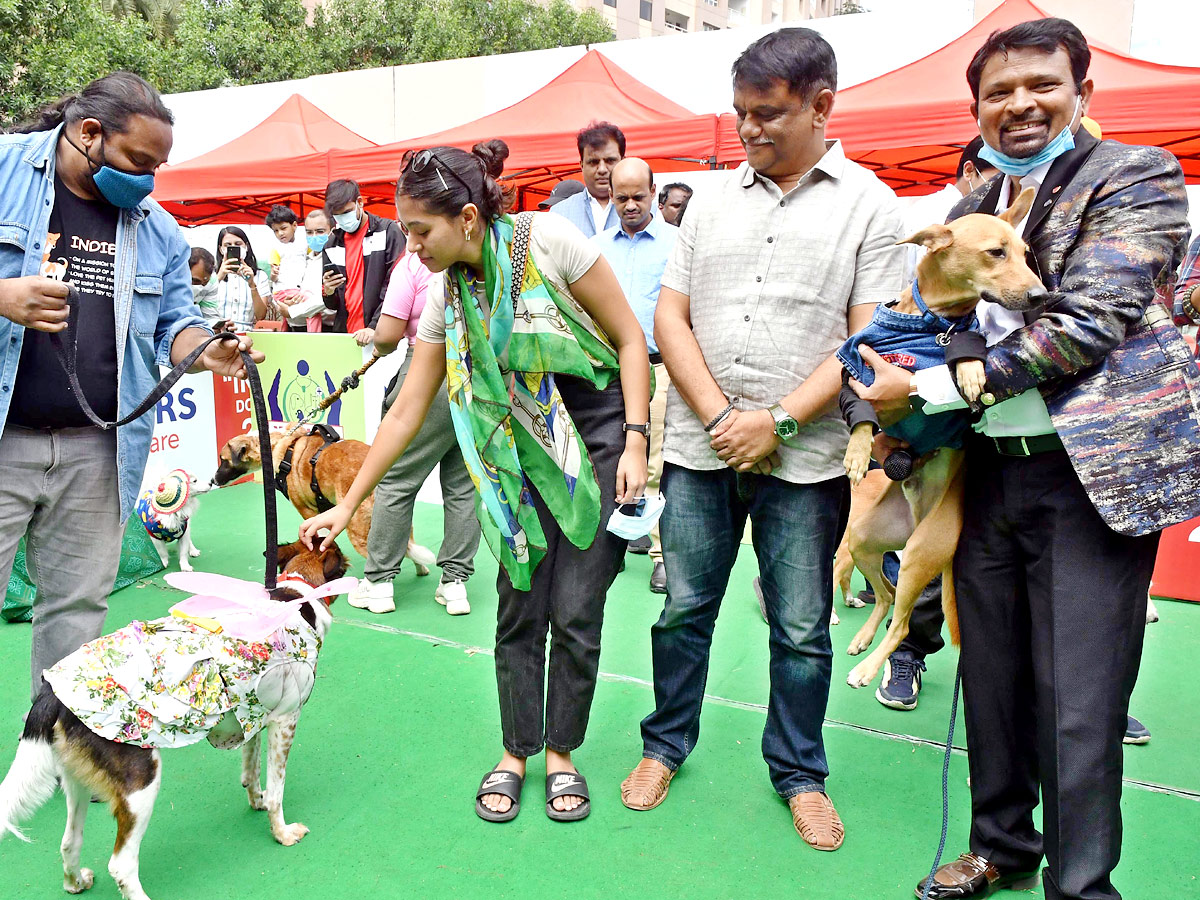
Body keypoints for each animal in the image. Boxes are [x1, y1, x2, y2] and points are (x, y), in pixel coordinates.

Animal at [214, 427, 436, 571]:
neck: (281, 445)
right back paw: (421, 569)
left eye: (223, 460)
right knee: (408, 548)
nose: (213, 480)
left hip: (358, 531)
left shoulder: (309, 513)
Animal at [840, 184, 1046, 691]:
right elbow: (861, 415)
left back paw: (868, 666)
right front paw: (857, 451)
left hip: (918, 553)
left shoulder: (963, 339)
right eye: (997, 252)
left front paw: (968, 371)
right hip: (863, 540)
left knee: (902, 620)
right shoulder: (852, 370)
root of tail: (917, 519)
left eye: (1026, 253)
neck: (934, 322)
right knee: (886, 596)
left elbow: (972, 352)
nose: (1041, 293)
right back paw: (863, 640)